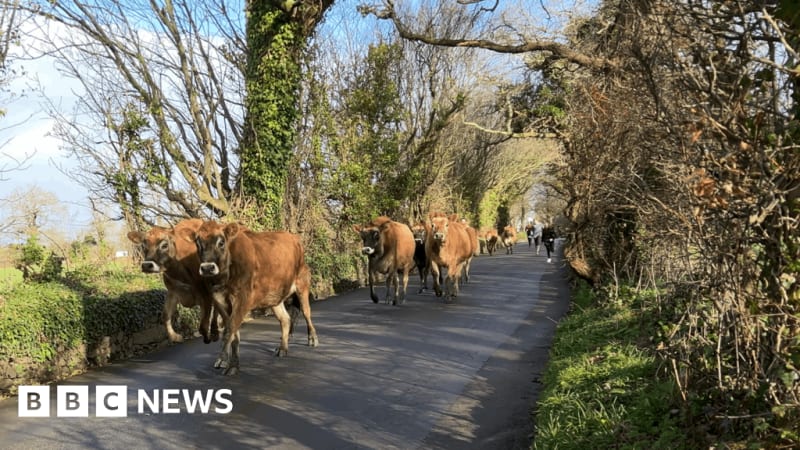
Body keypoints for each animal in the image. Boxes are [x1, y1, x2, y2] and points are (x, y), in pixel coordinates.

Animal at [188, 221, 319, 376]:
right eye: (197, 242)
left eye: (221, 242)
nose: (207, 268)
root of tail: (295, 238)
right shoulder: (219, 299)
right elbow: (234, 333)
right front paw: (233, 364)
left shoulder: (243, 298)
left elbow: (229, 329)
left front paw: (223, 360)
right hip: (274, 296)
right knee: (285, 319)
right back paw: (282, 348)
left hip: (302, 284)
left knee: (306, 312)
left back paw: (313, 339)